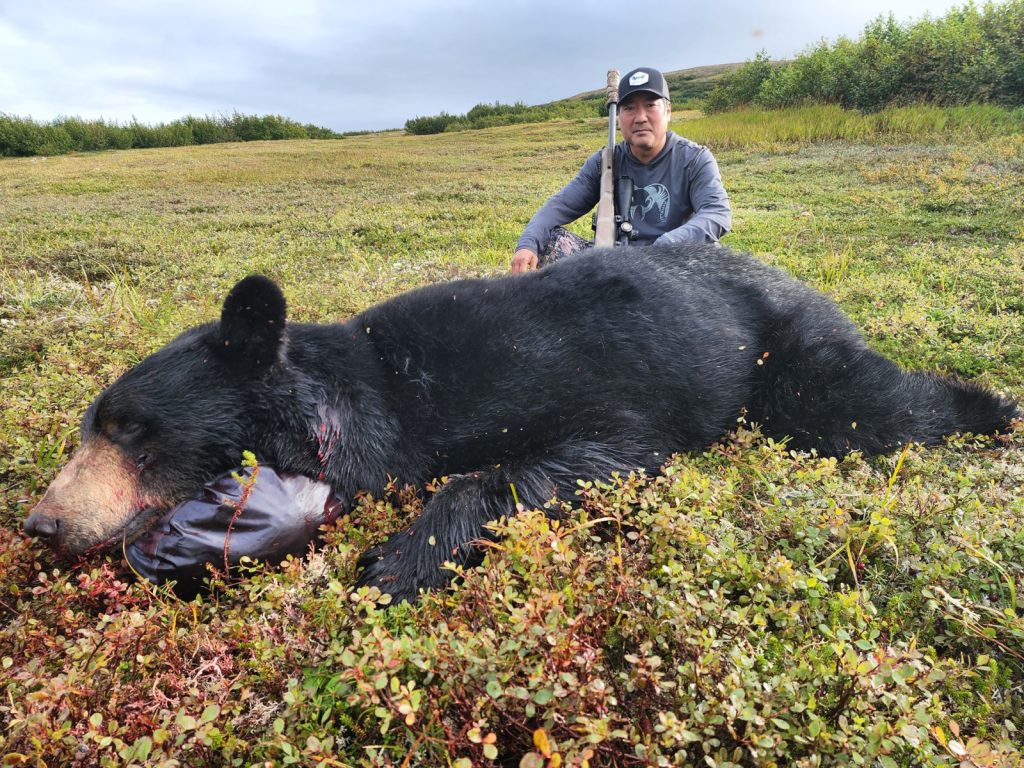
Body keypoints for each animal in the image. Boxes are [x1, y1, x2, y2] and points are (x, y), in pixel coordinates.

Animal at [22, 243, 1015, 606]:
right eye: (87, 428)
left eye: (131, 429)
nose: (40, 521)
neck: (371, 392)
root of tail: (800, 279)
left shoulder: (579, 393)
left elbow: (589, 457)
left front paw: (398, 563)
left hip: (786, 367)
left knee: (871, 405)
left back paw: (994, 408)